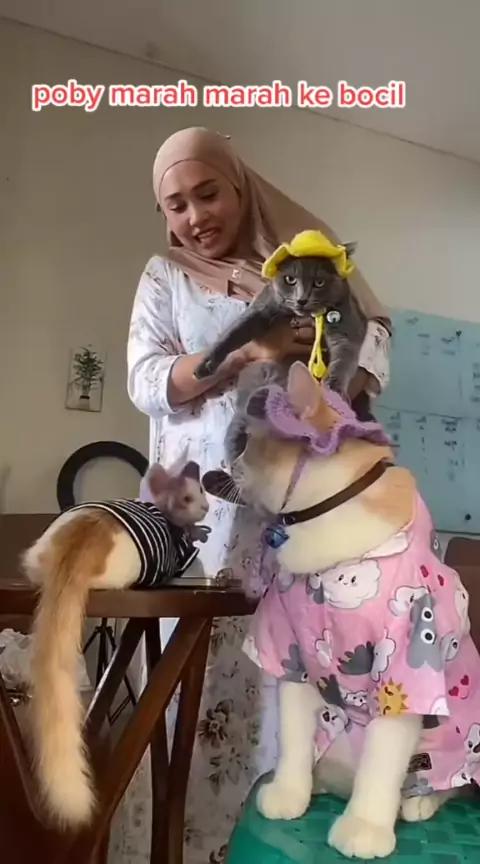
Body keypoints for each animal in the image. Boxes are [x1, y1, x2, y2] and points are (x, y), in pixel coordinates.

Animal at [194, 250, 368, 397]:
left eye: (319, 282)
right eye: (290, 280)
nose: (301, 300)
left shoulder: (348, 324)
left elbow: (344, 357)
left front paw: (333, 389)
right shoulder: (261, 309)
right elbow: (234, 332)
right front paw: (206, 364)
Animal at [213, 361, 479, 859]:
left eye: (249, 443)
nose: (228, 466)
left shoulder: (404, 669)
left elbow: (382, 765)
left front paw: (366, 827)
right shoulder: (293, 654)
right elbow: (294, 739)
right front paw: (290, 791)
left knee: (448, 781)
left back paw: (417, 803)